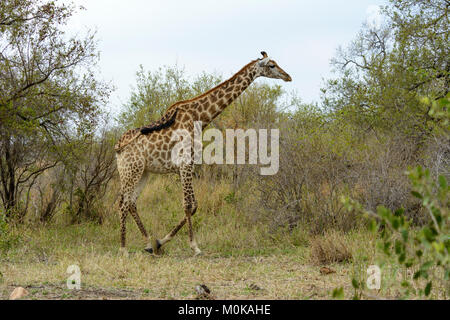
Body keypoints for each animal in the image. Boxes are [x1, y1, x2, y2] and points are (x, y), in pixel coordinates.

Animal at [115, 51, 292, 256]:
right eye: (271, 65)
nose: (288, 76)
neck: (199, 117)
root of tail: (117, 147)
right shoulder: (185, 163)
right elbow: (188, 205)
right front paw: (194, 246)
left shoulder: (187, 166)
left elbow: (194, 205)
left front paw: (160, 241)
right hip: (131, 170)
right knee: (123, 203)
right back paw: (124, 249)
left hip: (143, 172)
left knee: (131, 202)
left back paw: (148, 244)